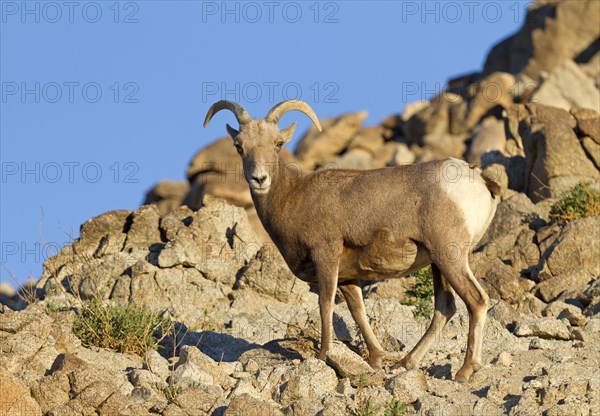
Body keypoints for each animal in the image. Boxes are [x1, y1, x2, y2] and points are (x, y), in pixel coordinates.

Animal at [204, 99, 500, 382]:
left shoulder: (326, 257)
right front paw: (377, 359)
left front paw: (324, 355)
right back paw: (406, 363)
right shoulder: (348, 277)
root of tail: (478, 179)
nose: (259, 179)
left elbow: (325, 305)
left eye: (278, 144)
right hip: (438, 264)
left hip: (449, 257)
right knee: (444, 308)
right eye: (239, 146)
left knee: (476, 301)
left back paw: (464, 371)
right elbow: (358, 311)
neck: (292, 198)